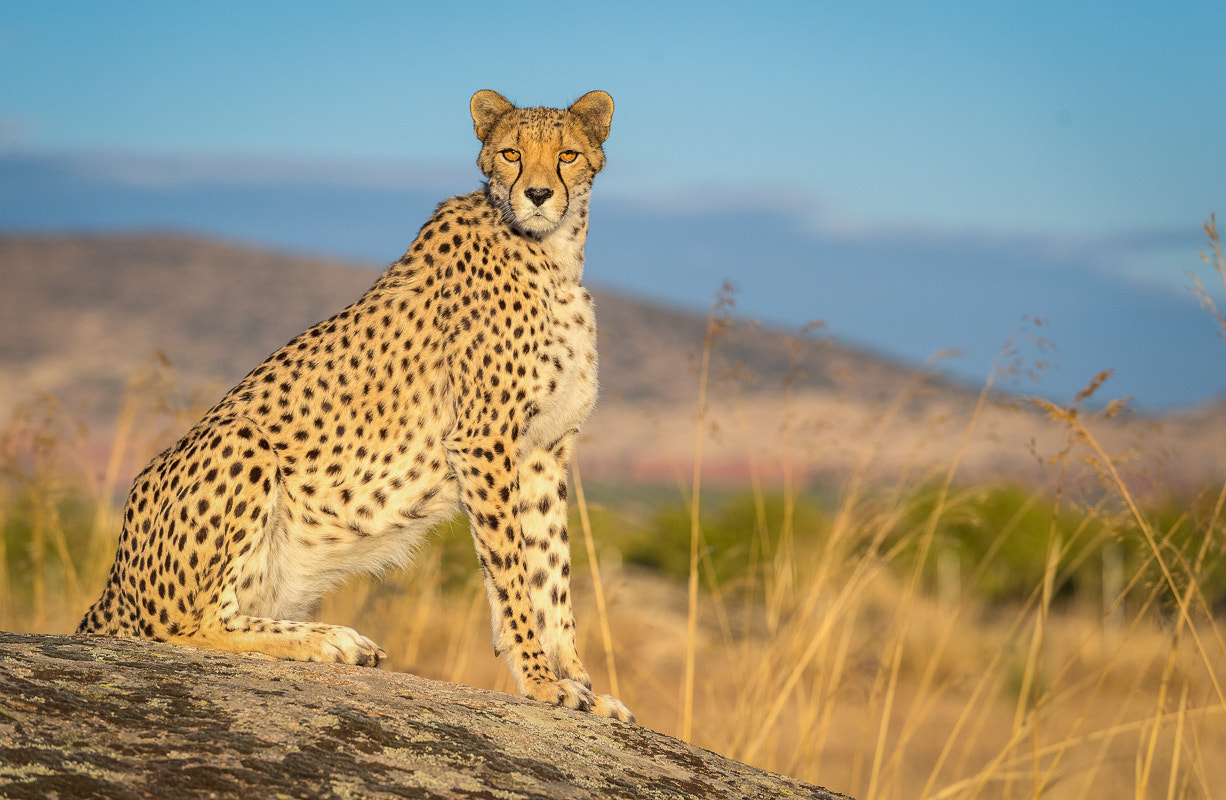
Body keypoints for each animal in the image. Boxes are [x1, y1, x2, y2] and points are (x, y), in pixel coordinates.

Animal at [77, 89, 632, 722]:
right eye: (512, 153)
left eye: (567, 155)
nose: (538, 195)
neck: (554, 254)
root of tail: (111, 586)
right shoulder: (484, 442)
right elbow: (512, 573)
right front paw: (540, 682)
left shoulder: (543, 449)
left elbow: (551, 572)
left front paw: (581, 685)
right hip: (241, 442)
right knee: (188, 622)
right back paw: (331, 640)